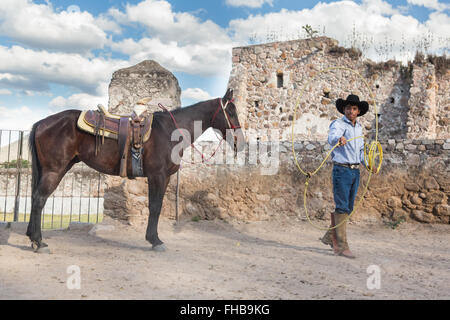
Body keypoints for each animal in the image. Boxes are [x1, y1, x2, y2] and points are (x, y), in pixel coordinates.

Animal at [26, 89, 244, 252]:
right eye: (231, 112)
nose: (240, 142)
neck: (170, 131)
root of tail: (42, 123)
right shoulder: (157, 176)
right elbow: (155, 207)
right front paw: (155, 240)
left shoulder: (163, 178)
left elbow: (156, 206)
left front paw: (153, 238)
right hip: (54, 170)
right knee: (39, 199)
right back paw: (39, 242)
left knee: (36, 198)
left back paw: (32, 237)